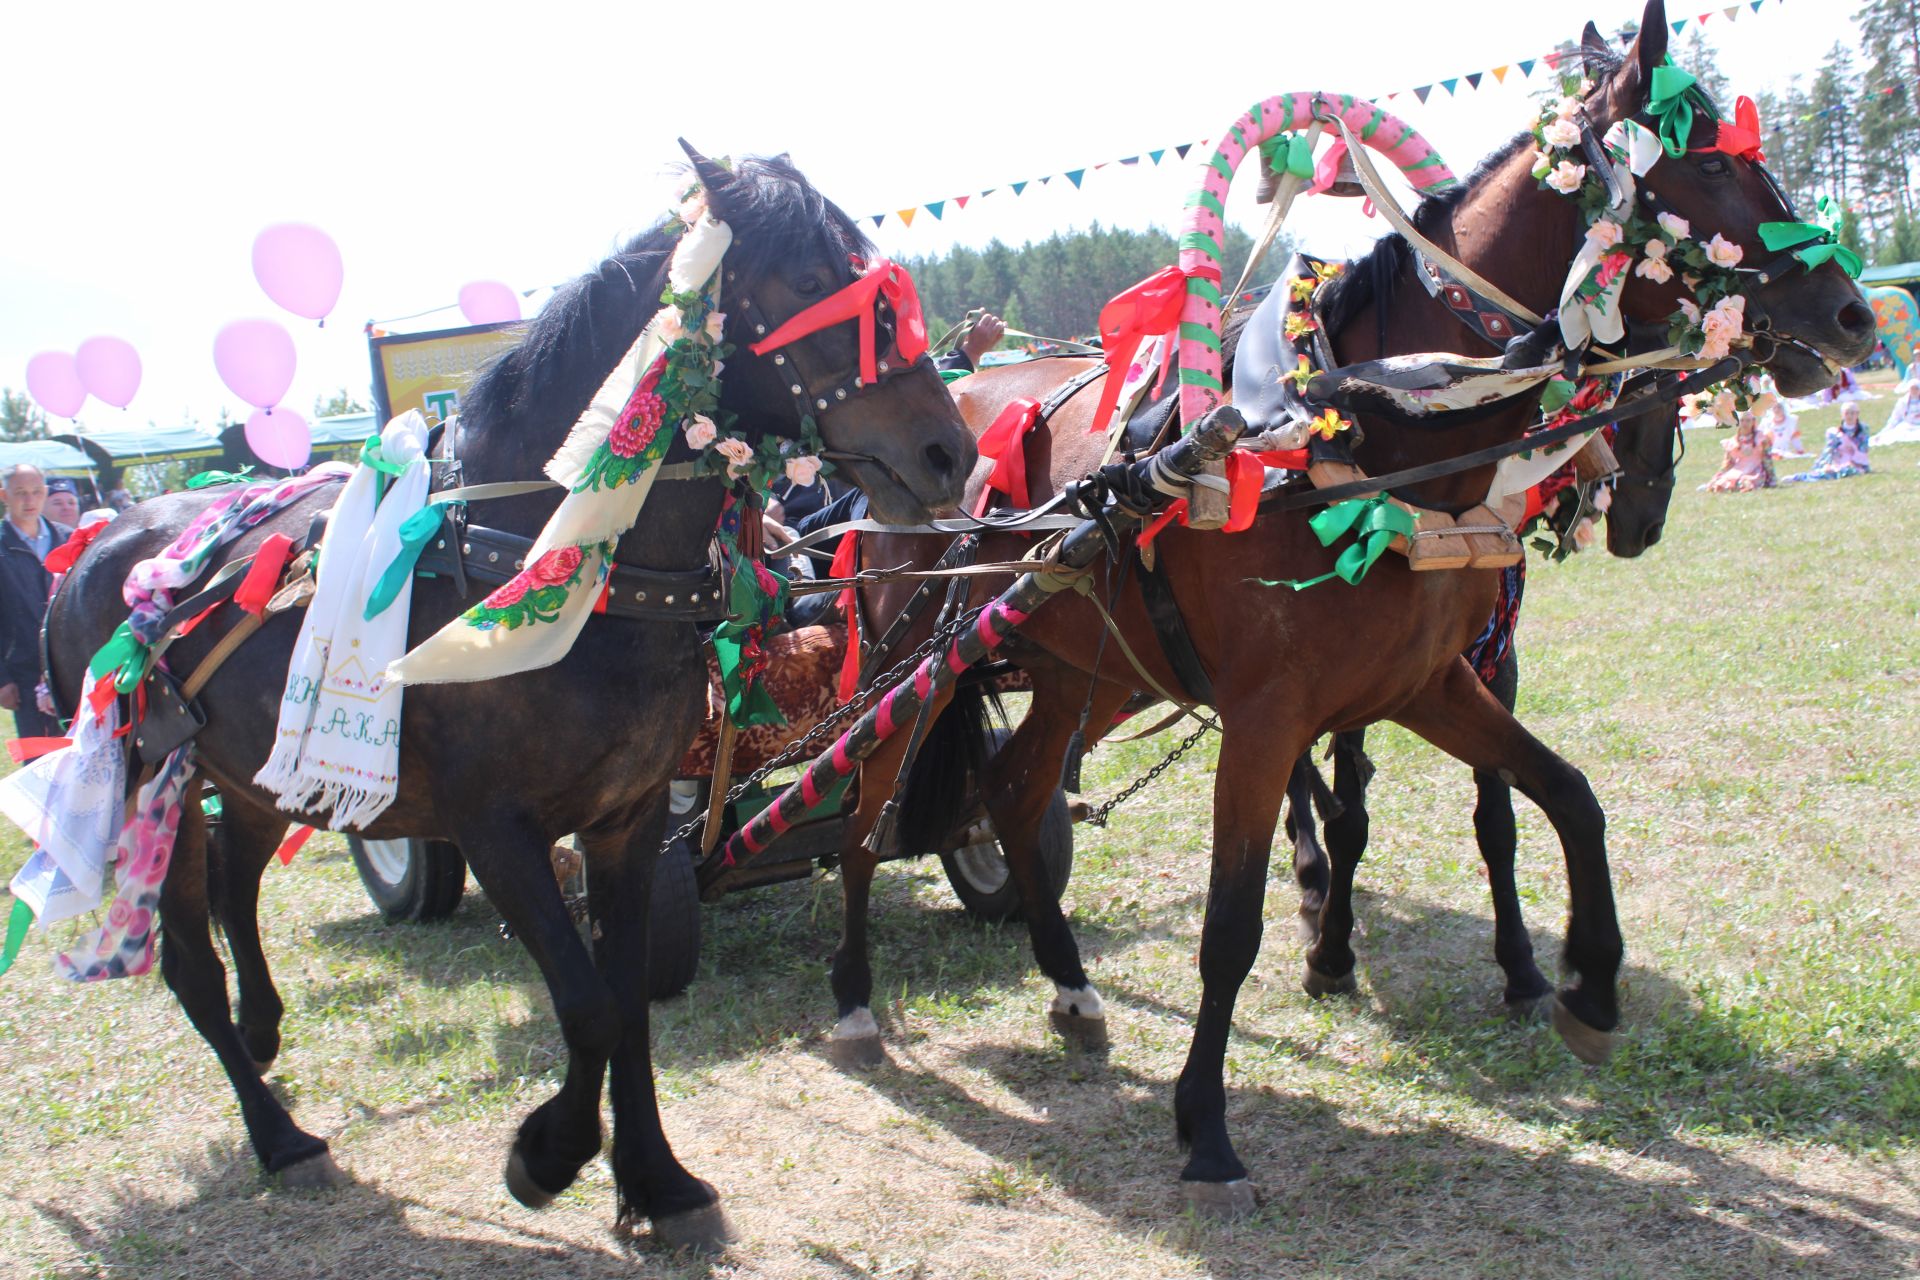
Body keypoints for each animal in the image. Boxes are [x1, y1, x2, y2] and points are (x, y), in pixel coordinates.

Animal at [45, 152, 975, 1251]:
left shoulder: (625, 818)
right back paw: (278, 1135)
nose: (949, 454)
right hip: (158, 783)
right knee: (193, 960)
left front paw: (657, 1180)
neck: (545, 556)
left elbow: (626, 1001)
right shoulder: (497, 827)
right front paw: (550, 1152)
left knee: (237, 892)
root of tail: (94, 544)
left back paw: (266, 1032)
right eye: (809, 280)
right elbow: (586, 1003)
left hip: (255, 770)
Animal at [821, 5, 1858, 1220]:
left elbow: (1561, 796)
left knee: (1016, 789)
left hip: (1087, 670)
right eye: (1710, 162)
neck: (1360, 421)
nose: (1850, 312)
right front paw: (1208, 1125)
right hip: (905, 662)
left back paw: (1072, 988)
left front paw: (1585, 983)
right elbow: (1232, 925)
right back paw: (854, 998)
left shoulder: (1430, 683)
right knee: (863, 815)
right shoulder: (1268, 718)